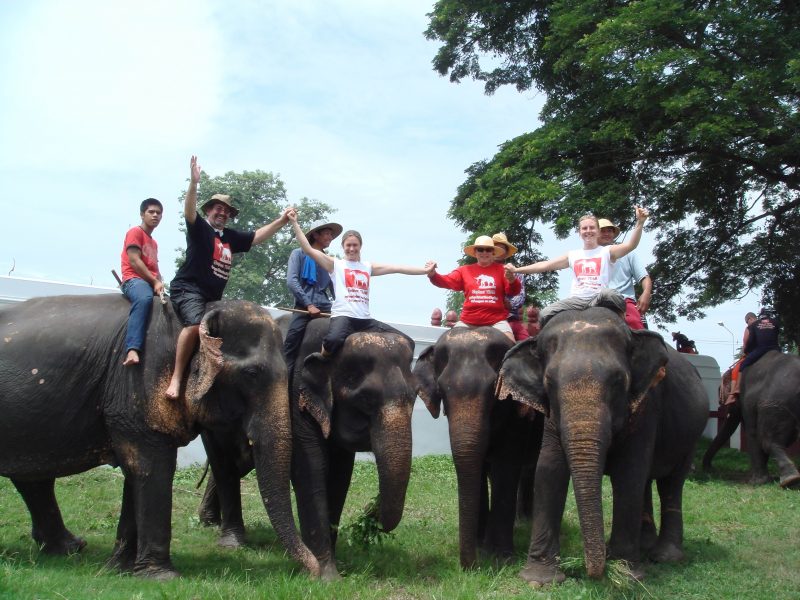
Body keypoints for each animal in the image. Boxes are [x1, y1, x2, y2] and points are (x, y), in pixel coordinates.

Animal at [0, 294, 318, 576]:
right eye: (252, 373)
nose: (314, 571)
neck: (196, 316)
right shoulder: (137, 382)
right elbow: (152, 467)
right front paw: (161, 576)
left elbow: (137, 472)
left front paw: (118, 570)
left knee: (33, 479)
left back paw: (71, 548)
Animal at [412, 326, 544, 568]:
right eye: (442, 391)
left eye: (494, 391)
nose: (471, 566)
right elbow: (479, 468)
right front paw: (481, 545)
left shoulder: (516, 414)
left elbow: (506, 466)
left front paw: (500, 558)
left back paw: (526, 522)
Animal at [500, 308, 708, 584]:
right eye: (549, 383)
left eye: (618, 381)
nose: (591, 572)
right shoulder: (551, 417)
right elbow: (549, 470)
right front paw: (538, 580)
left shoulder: (646, 405)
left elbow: (628, 473)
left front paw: (626, 574)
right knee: (646, 482)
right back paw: (644, 547)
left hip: (691, 435)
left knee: (671, 483)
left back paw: (664, 557)